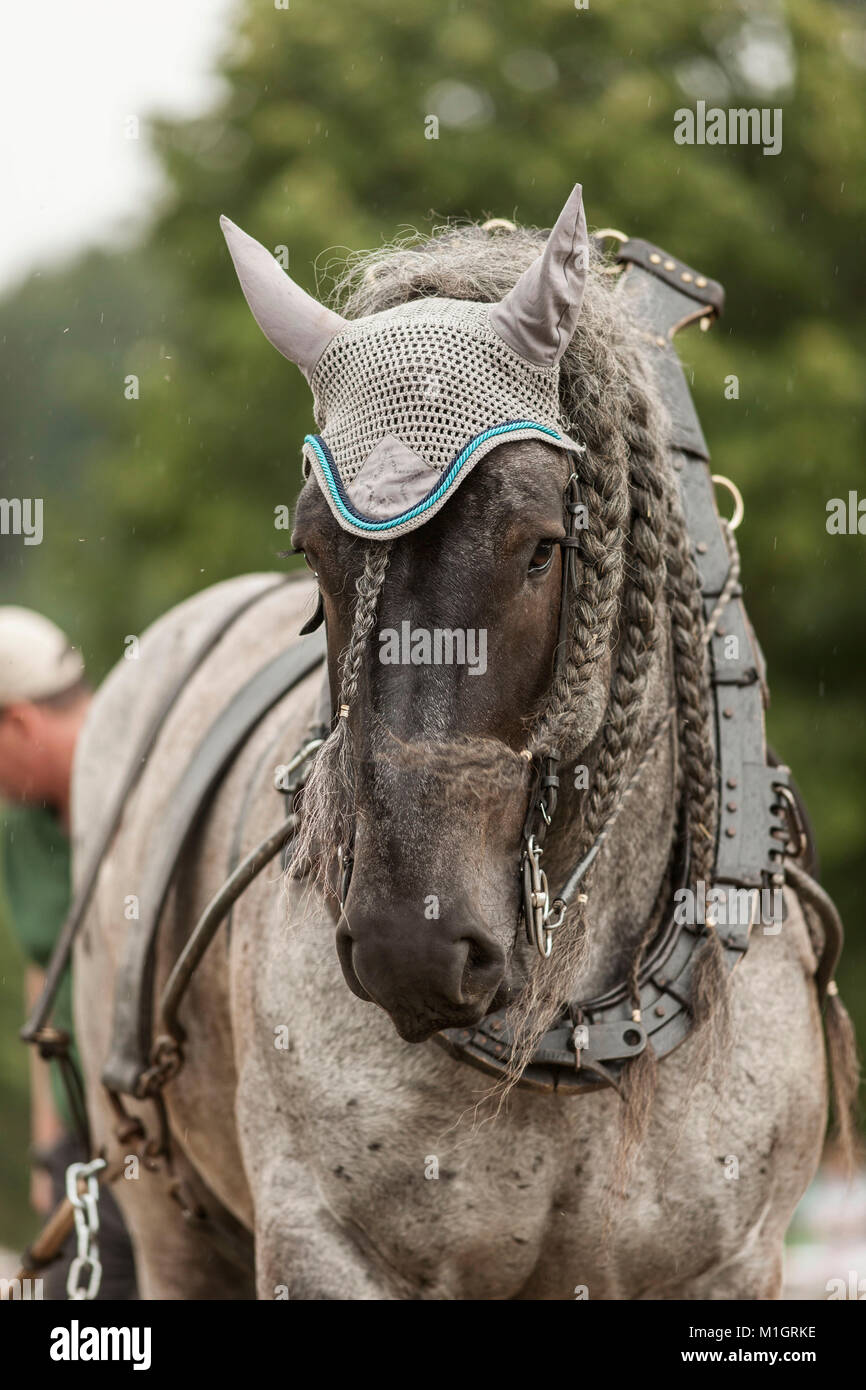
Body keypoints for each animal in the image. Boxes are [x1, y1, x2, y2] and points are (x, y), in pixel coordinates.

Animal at [71, 190, 856, 1295]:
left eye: (540, 547)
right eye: (312, 548)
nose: (413, 946)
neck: (569, 1025)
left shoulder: (732, 1260)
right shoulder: (320, 1243)